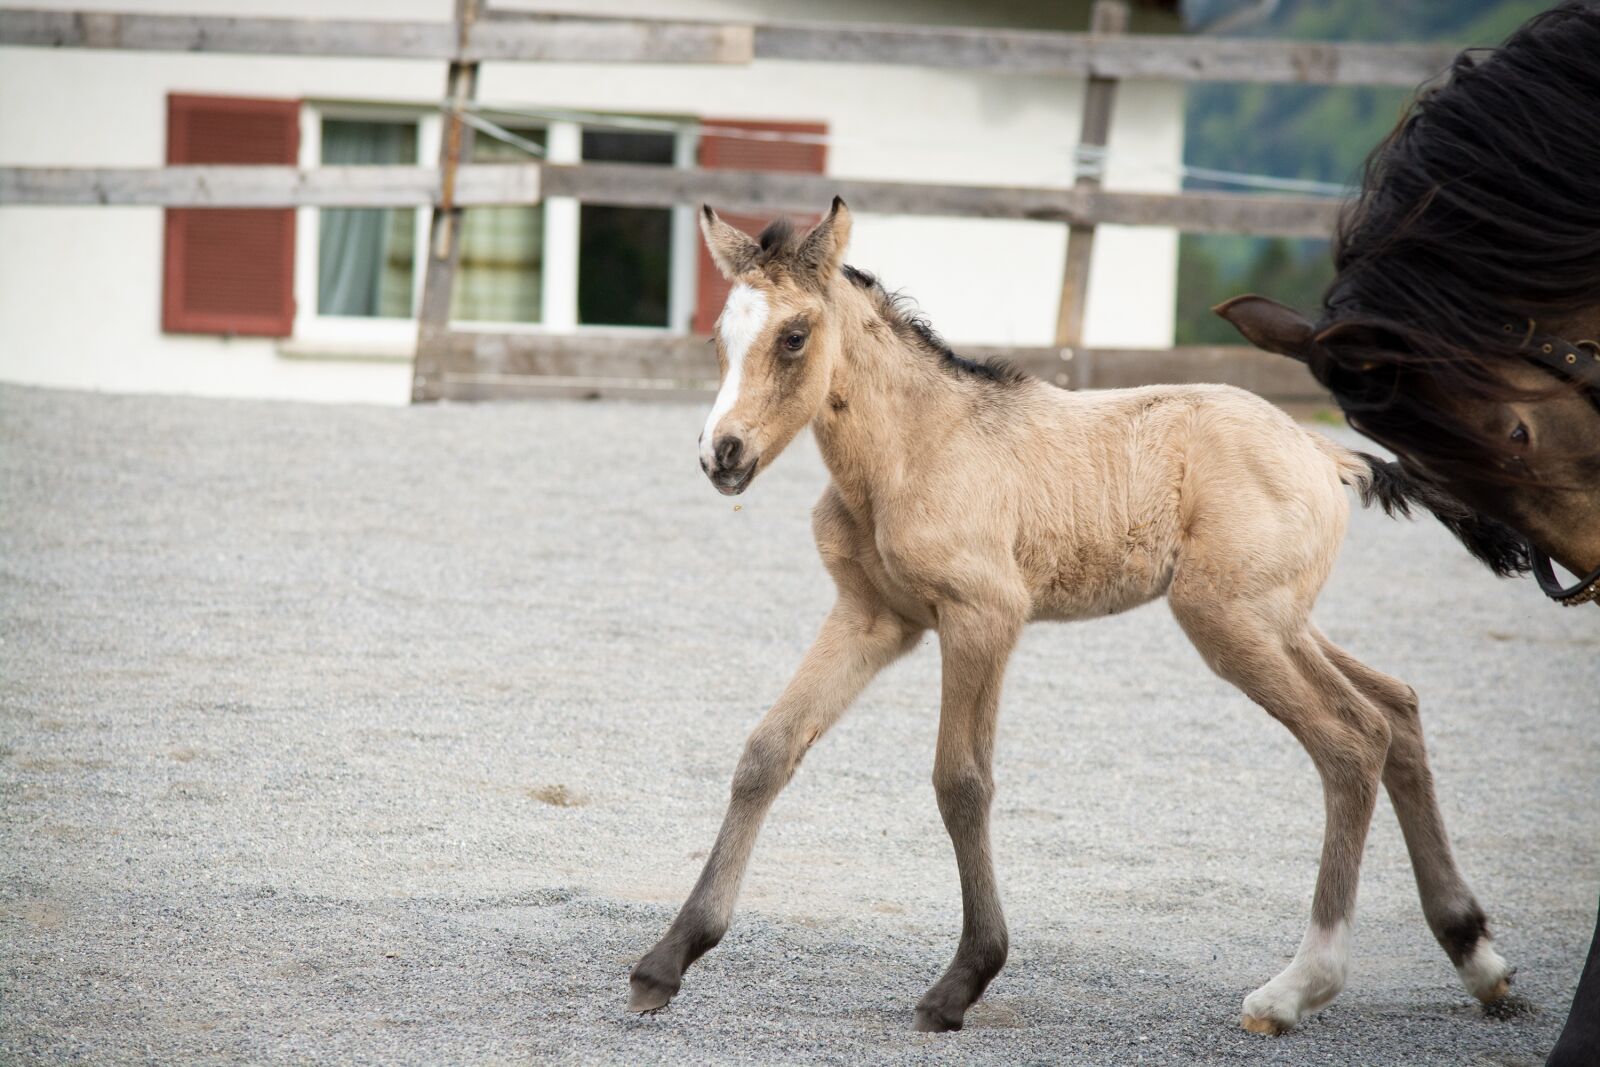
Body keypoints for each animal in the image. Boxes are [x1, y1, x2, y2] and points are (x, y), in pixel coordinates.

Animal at [626, 197, 1520, 1036]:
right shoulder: (874, 617)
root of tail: (1325, 452)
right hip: (1280, 617)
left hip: (1229, 619)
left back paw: (1297, 987)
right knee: (1394, 709)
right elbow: (767, 752)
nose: (722, 455)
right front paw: (667, 959)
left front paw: (962, 981)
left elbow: (962, 781)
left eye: (795, 335)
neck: (912, 450)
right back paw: (1476, 956)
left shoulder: (983, 615)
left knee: (1348, 741)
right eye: (721, 335)